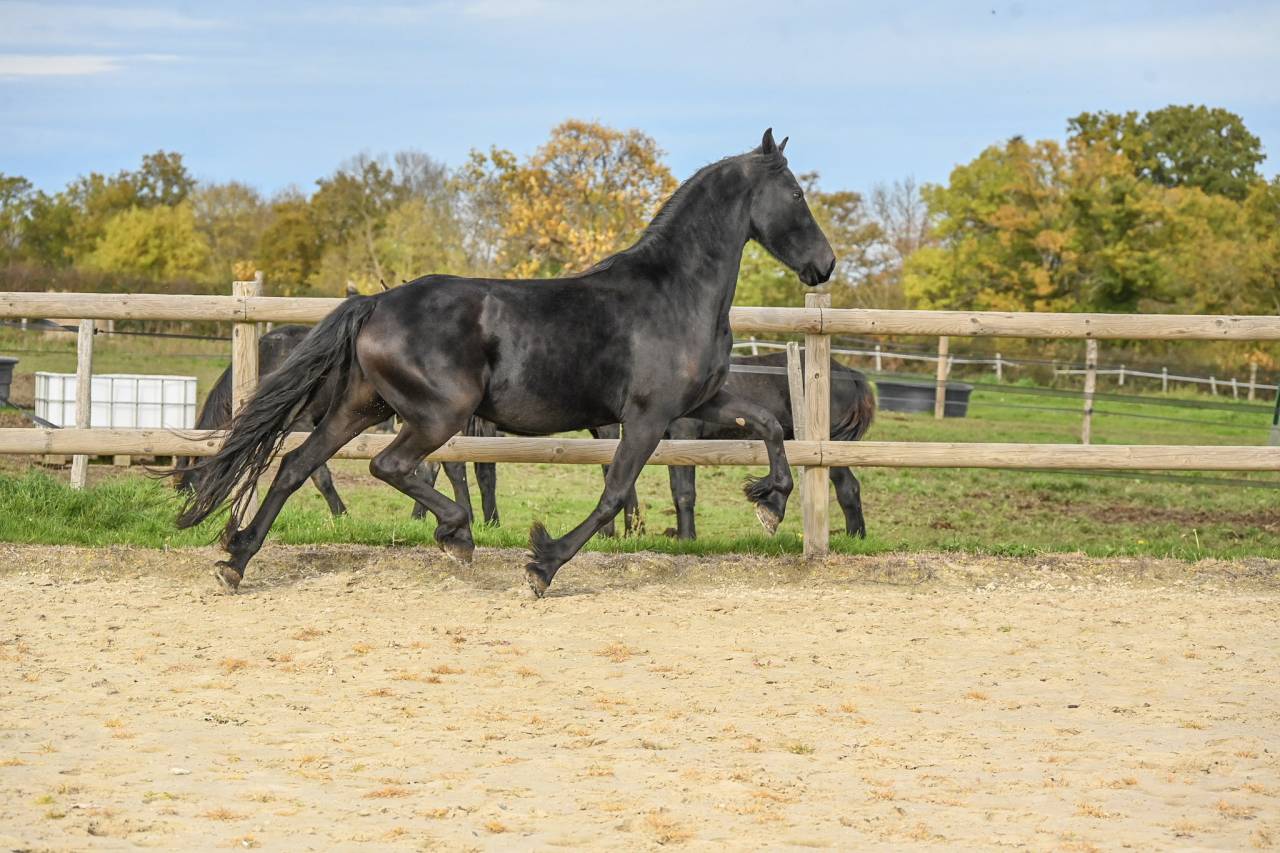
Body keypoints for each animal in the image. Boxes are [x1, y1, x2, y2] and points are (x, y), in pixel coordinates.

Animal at [176, 128, 835, 598]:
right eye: (797, 195)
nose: (825, 265)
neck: (674, 292)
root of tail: (375, 302)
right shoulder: (647, 417)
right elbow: (614, 493)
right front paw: (542, 565)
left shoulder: (697, 402)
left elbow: (770, 426)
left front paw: (771, 501)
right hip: (437, 415)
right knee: (389, 466)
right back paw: (457, 533)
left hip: (362, 407)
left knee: (295, 465)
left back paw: (236, 560)